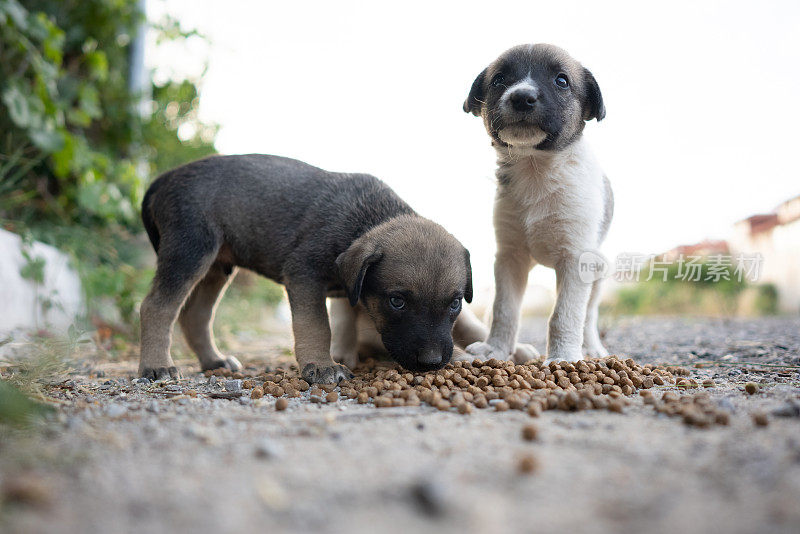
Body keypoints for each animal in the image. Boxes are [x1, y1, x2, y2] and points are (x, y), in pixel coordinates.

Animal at [462, 45, 612, 364]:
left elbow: (565, 315)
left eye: (562, 81)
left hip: (597, 274)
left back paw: (592, 349)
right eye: (499, 79)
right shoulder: (510, 257)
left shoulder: (575, 260)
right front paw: (495, 349)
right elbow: (504, 309)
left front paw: (564, 357)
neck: (535, 170)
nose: (521, 97)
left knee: (589, 316)